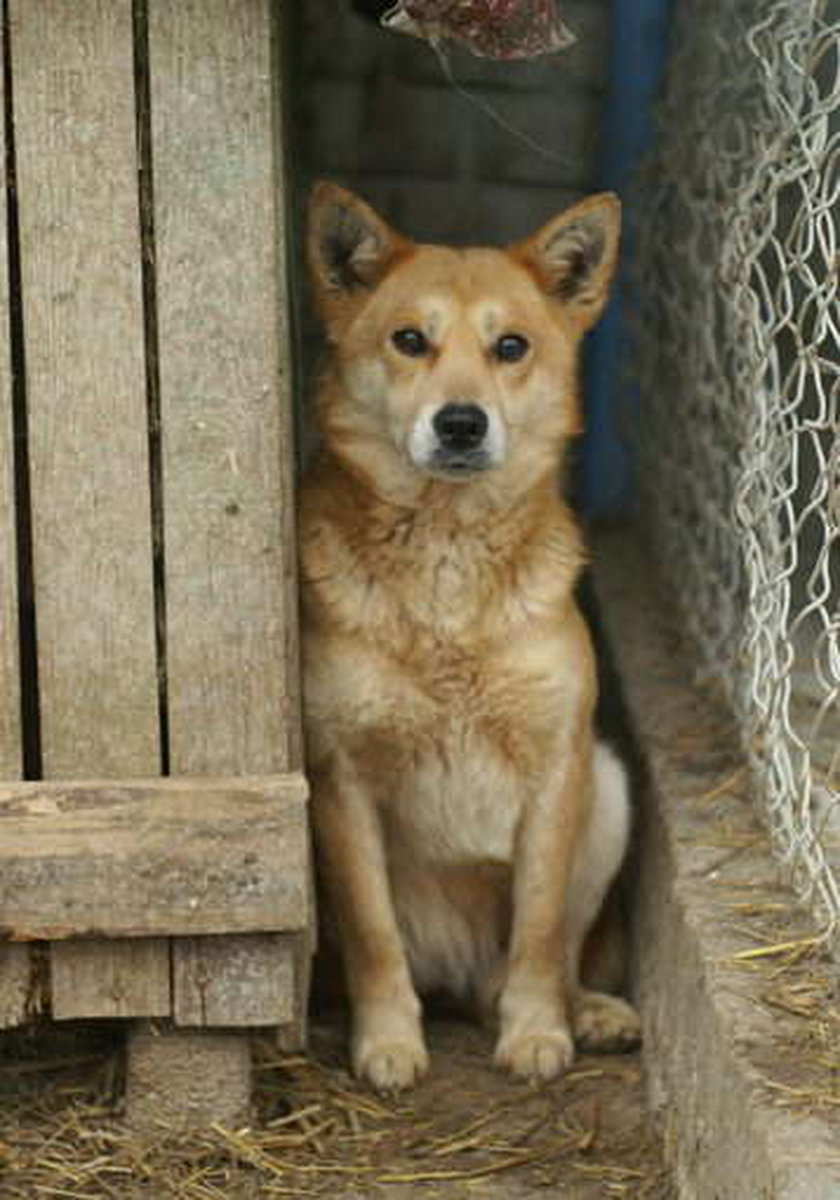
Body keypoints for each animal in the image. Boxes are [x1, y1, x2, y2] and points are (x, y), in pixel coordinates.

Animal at [298, 182, 638, 1094]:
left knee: (545, 956)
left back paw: (585, 1010)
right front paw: (386, 1040)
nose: (459, 423)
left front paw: (538, 1030)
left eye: (510, 346)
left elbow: (542, 925)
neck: (447, 555)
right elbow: (374, 935)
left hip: (610, 787)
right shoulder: (339, 777)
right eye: (409, 340)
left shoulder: (559, 765)